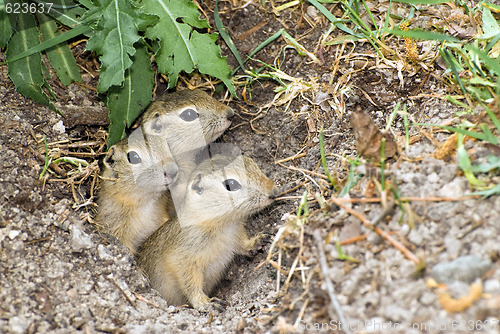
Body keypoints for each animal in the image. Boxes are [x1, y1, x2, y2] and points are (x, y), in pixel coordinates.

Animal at [137, 154, 278, 310]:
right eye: (231, 184)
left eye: (252, 162)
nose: (273, 192)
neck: (225, 225)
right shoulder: (182, 257)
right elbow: (190, 284)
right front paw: (205, 302)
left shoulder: (236, 235)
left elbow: (243, 244)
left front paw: (259, 241)